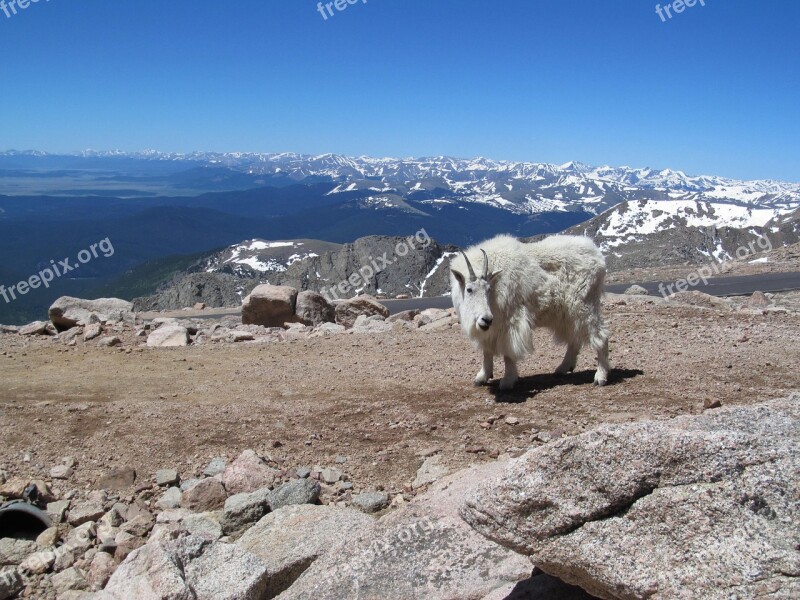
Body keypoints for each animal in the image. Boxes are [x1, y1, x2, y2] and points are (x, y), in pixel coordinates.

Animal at [446, 232, 608, 392]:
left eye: (488, 289)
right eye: (469, 289)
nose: (486, 319)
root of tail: (598, 257)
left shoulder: (510, 321)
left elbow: (508, 353)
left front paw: (507, 381)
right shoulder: (491, 327)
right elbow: (487, 351)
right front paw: (481, 377)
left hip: (584, 305)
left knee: (601, 336)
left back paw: (600, 376)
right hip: (568, 314)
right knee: (575, 338)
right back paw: (562, 368)